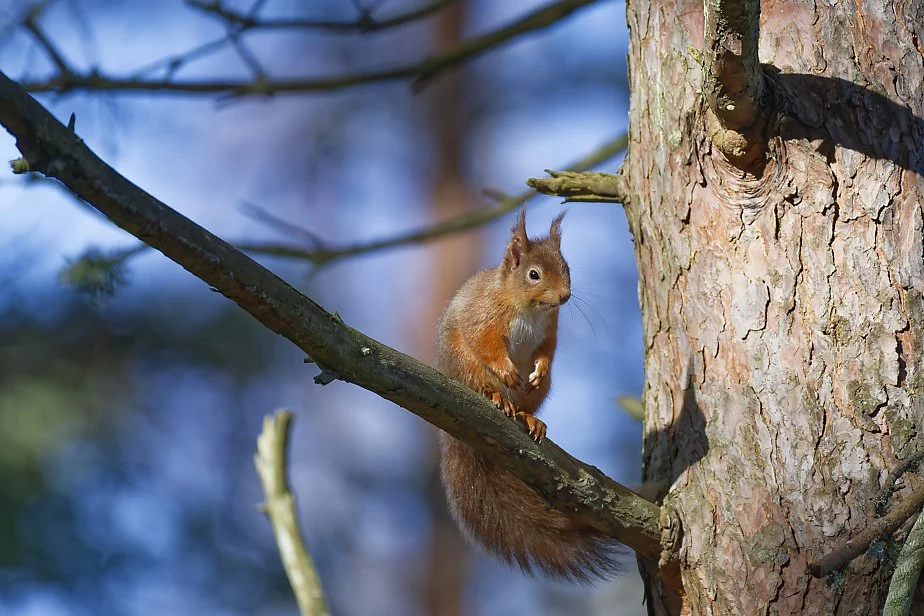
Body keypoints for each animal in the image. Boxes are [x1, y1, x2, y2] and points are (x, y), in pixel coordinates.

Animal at [436, 209, 622, 582]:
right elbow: (484, 341)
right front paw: (507, 370)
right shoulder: (483, 314)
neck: (529, 308)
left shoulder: (550, 330)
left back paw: (529, 417)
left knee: (526, 406)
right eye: (533, 274)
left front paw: (539, 372)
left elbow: (547, 351)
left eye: (567, 267)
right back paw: (497, 397)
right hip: (464, 365)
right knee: (481, 380)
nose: (565, 297)